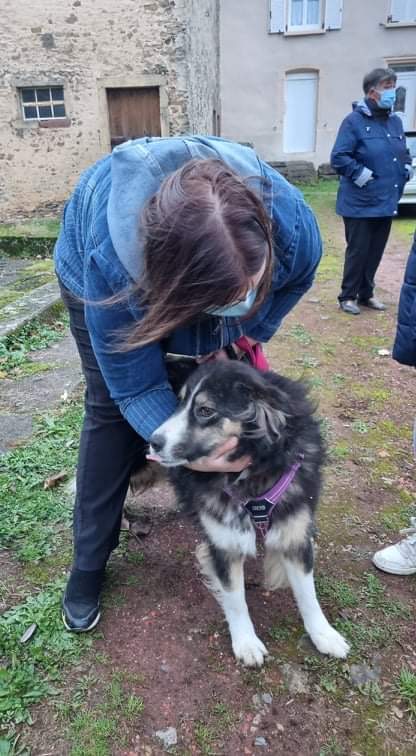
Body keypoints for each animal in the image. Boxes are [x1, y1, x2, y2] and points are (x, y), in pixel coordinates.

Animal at [148, 364, 350, 664]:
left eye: (205, 410)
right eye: (179, 403)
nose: (152, 442)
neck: (252, 474)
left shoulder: (295, 534)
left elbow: (308, 594)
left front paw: (323, 635)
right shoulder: (224, 543)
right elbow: (235, 599)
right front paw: (245, 642)